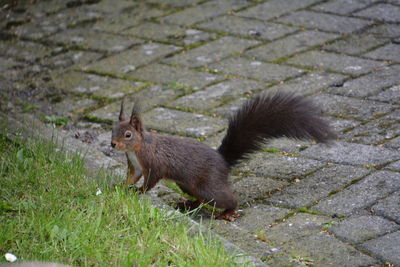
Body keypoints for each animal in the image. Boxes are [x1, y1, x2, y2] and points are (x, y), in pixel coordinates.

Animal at [111, 92, 336, 222]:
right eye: (113, 129)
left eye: (128, 134)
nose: (112, 144)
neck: (137, 148)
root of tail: (224, 161)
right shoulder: (134, 165)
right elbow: (131, 177)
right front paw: (121, 186)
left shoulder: (154, 163)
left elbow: (150, 181)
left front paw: (139, 191)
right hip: (187, 185)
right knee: (200, 199)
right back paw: (188, 204)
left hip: (208, 186)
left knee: (227, 199)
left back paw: (228, 212)